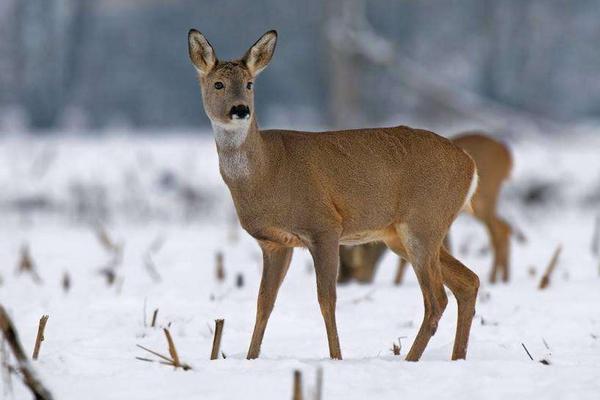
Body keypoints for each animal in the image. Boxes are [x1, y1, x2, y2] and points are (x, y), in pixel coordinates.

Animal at [186, 27, 478, 360]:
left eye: (249, 84)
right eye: (218, 83)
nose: (240, 109)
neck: (266, 172)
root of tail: (470, 164)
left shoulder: (324, 226)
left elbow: (327, 299)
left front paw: (336, 357)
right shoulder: (274, 242)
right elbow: (264, 302)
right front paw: (250, 358)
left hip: (423, 222)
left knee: (437, 298)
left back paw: (411, 359)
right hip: (402, 234)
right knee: (468, 281)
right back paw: (456, 357)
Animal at [340, 133, 512, 286]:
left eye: (355, 269)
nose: (347, 282)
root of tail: (506, 155)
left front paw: (397, 283)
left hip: (483, 199)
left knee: (499, 230)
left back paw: (495, 279)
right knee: (504, 226)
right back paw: (503, 277)